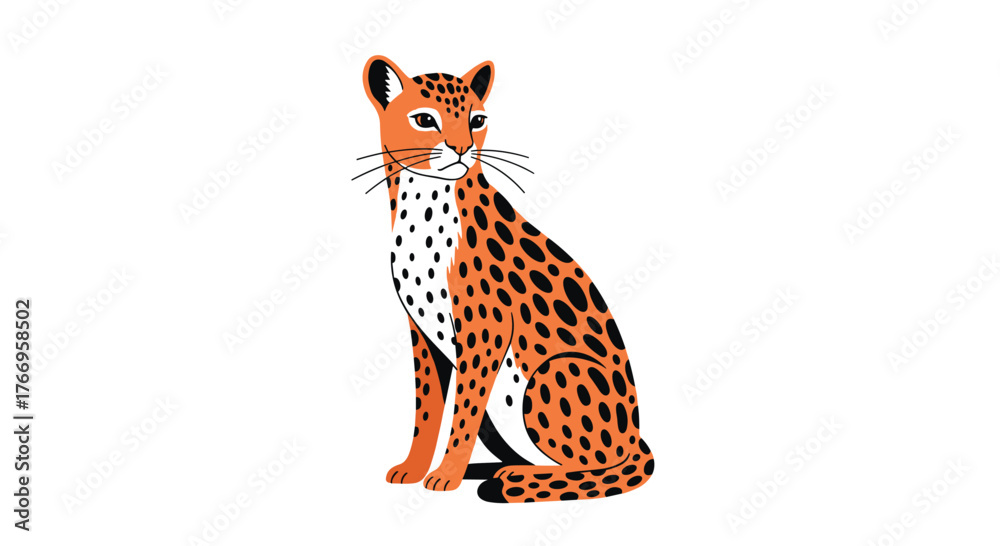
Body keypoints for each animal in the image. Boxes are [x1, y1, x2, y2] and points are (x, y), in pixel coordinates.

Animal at [358, 55, 654, 503]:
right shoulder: (422, 333)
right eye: (425, 120)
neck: (424, 201)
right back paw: (498, 470)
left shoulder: (486, 331)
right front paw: (414, 468)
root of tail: (637, 438)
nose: (461, 148)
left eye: (476, 120)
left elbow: (462, 412)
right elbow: (428, 411)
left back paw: (513, 479)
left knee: (597, 467)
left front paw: (445, 474)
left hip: (554, 370)